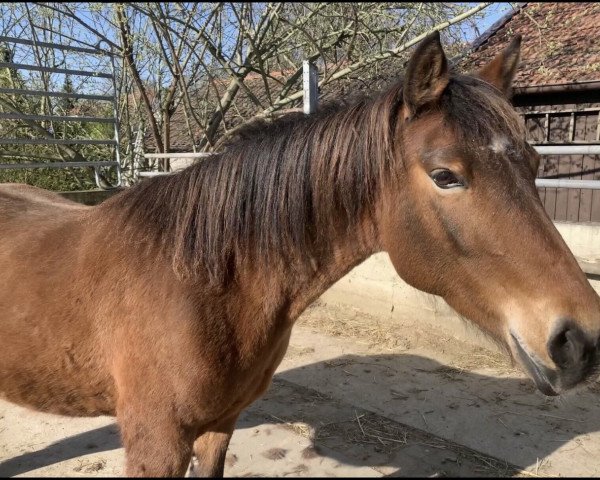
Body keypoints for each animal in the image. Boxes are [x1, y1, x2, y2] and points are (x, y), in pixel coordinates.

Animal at [1, 32, 600, 476]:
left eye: (535, 164)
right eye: (445, 175)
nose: (582, 340)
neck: (200, 284)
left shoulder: (219, 427)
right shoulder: (157, 442)